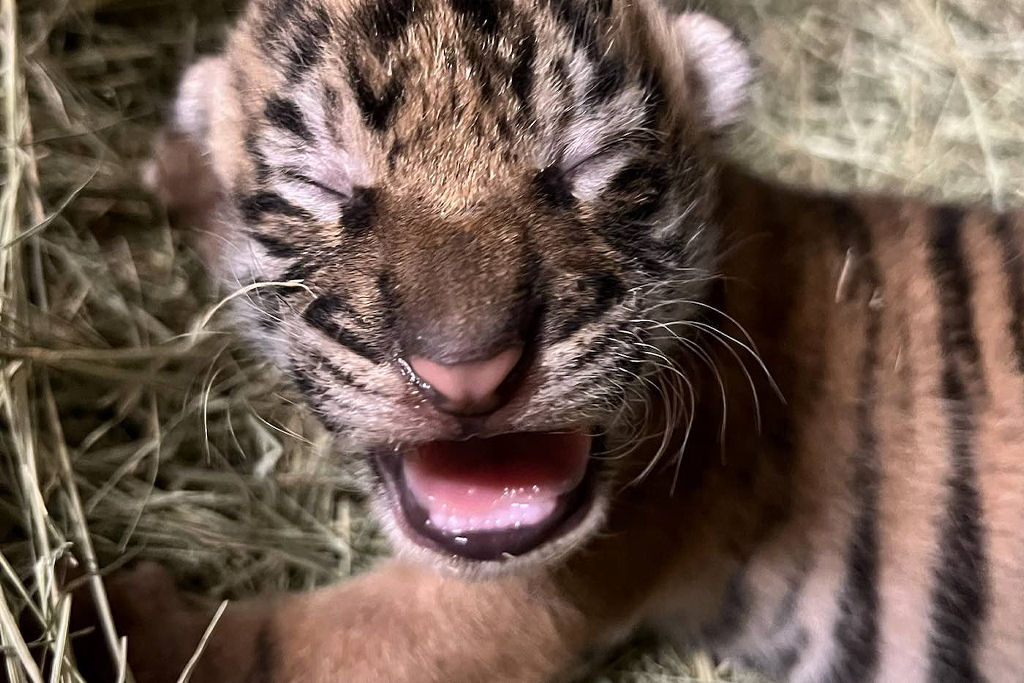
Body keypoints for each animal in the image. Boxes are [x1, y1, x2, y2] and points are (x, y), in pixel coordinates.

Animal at [70, 0, 1024, 682]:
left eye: (586, 169)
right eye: (323, 188)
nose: (467, 373)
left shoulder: (504, 602)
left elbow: (291, 648)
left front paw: (107, 617)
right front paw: (177, 160)